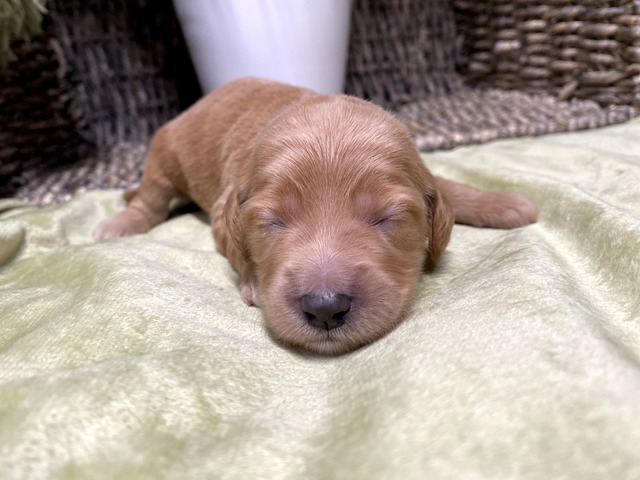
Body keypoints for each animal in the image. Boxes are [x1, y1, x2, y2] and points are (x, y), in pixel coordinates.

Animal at [94, 75, 536, 352]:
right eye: (272, 221)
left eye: (386, 218)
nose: (325, 309)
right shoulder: (225, 207)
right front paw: (255, 284)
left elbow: (449, 186)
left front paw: (506, 204)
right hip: (165, 151)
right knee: (150, 198)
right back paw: (119, 224)